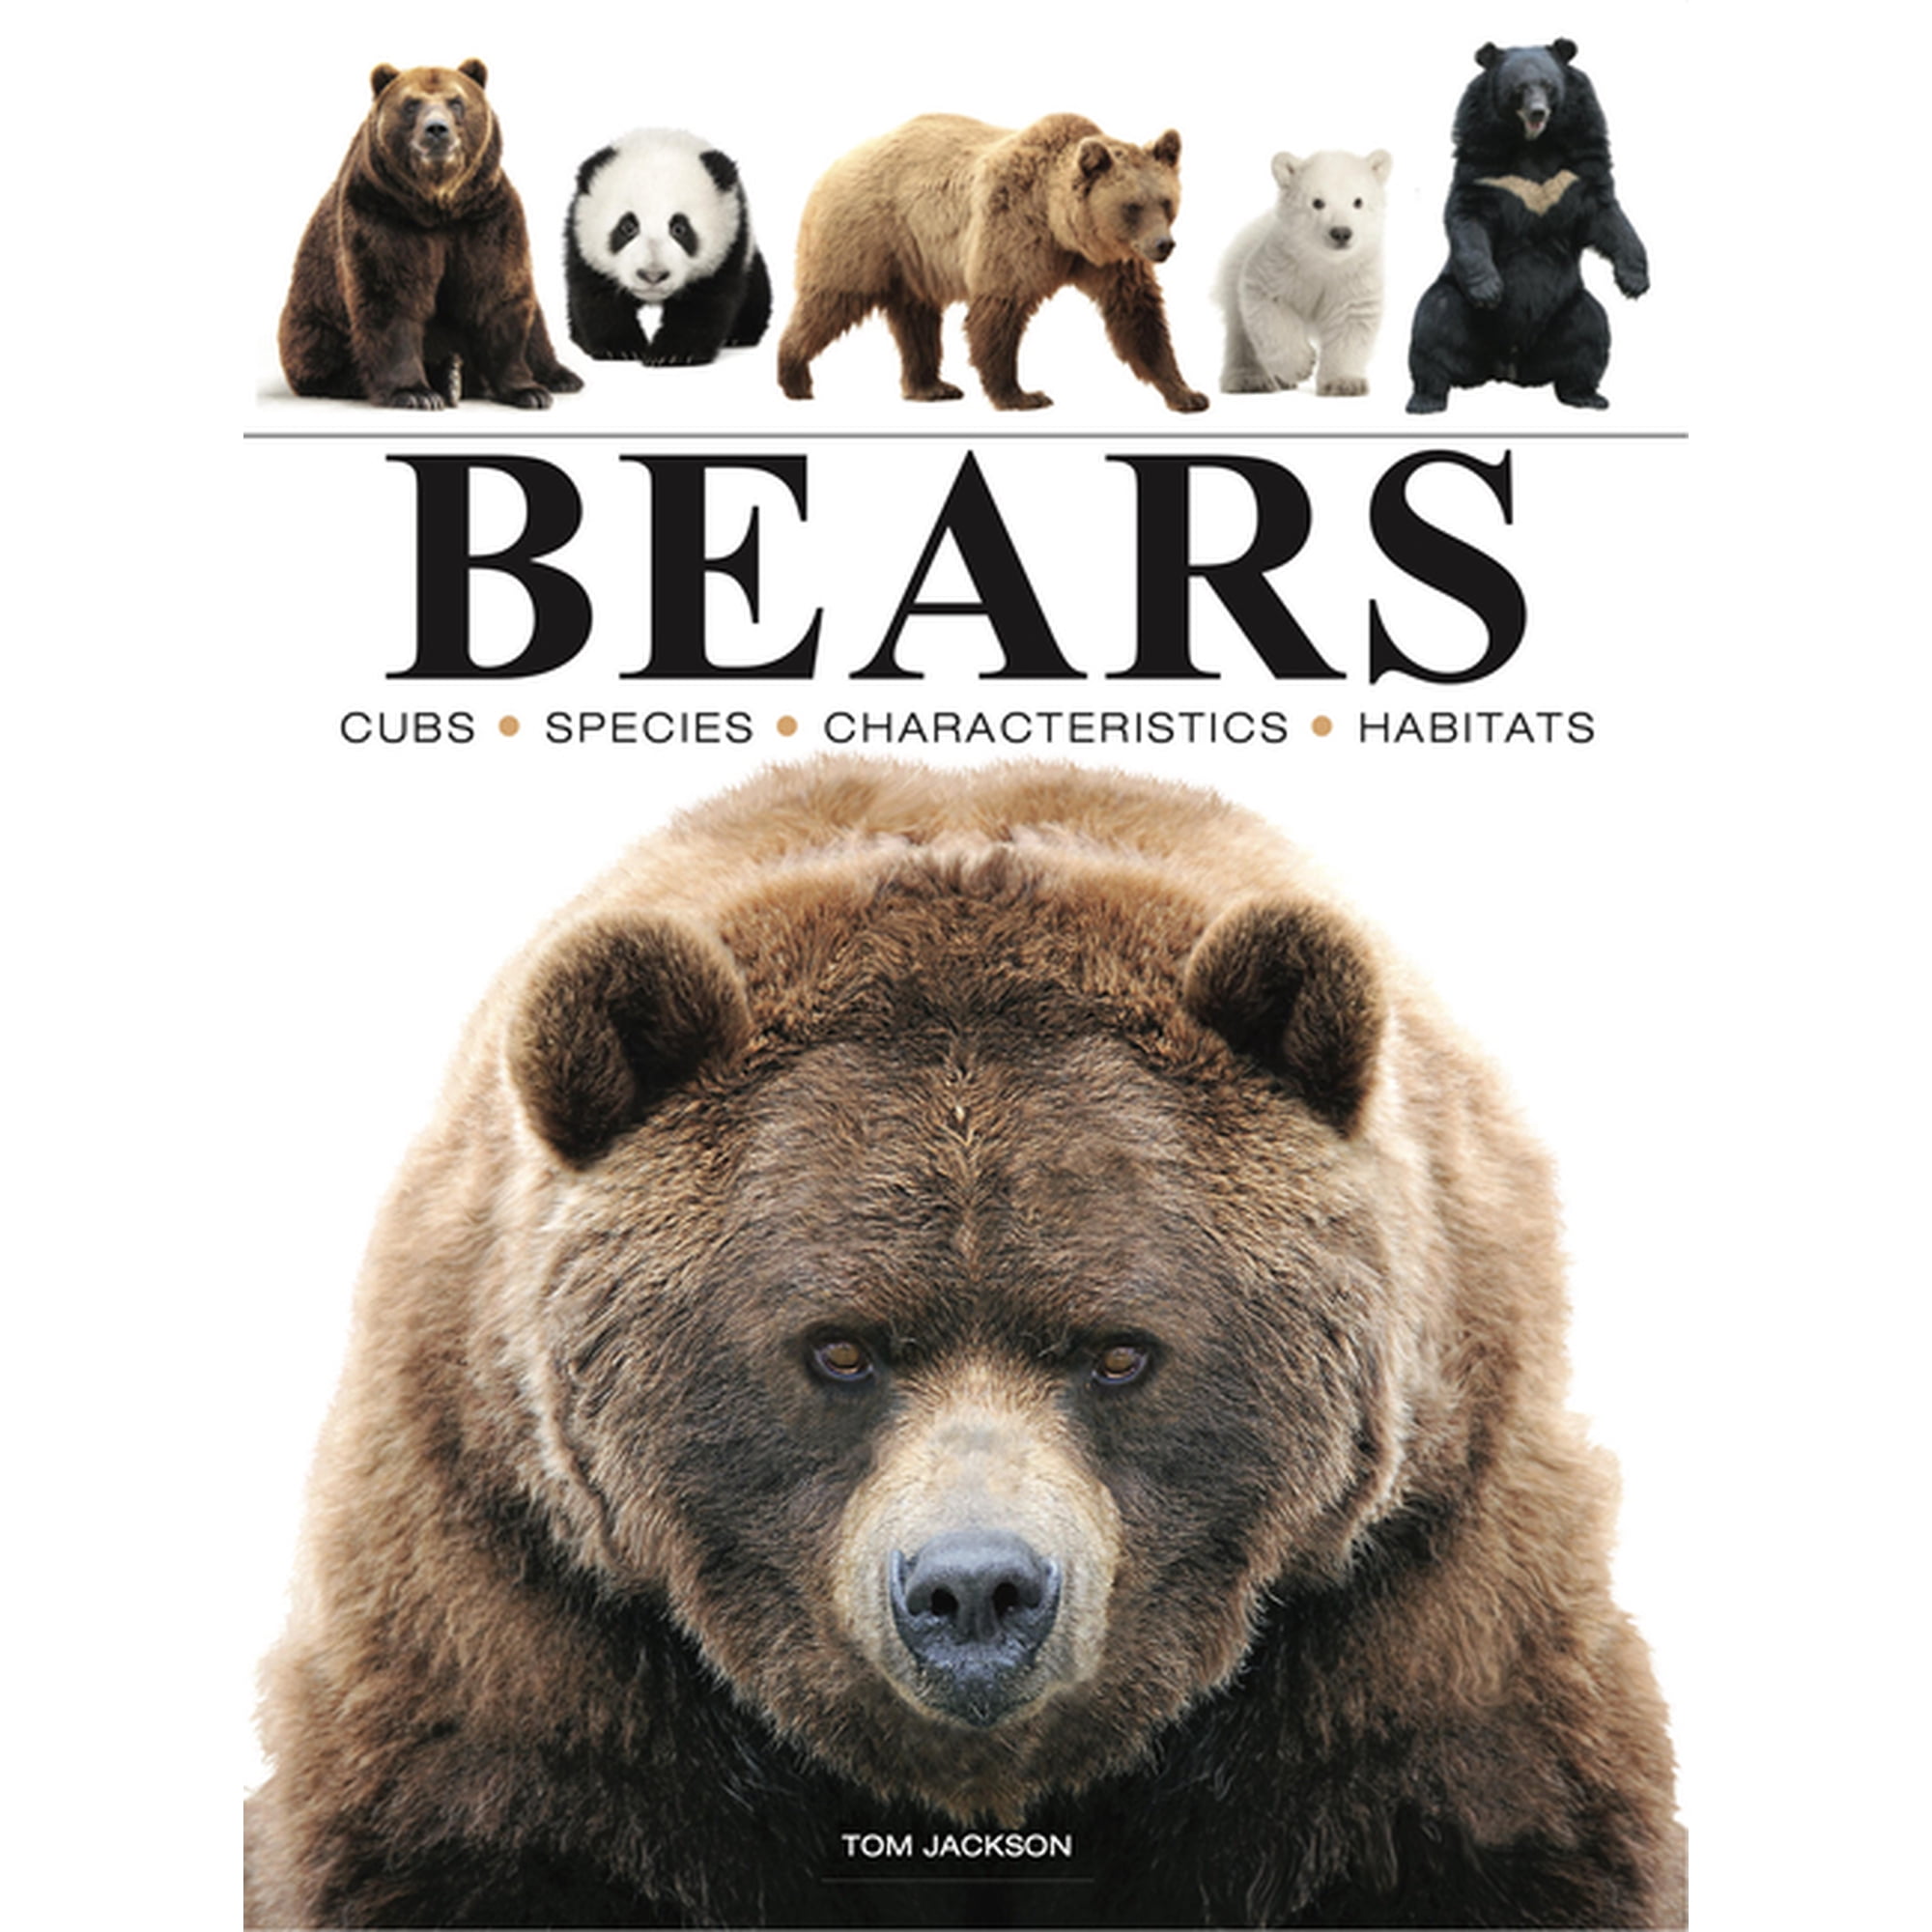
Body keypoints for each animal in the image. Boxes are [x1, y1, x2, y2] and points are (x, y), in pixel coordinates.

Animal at [279, 60, 580, 410]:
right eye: (411, 104)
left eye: (456, 102)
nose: (437, 129)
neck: (438, 204)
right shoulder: (383, 216)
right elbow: (391, 299)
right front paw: (416, 392)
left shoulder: (485, 217)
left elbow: (497, 294)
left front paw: (529, 390)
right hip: (313, 326)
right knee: (329, 359)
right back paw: (448, 376)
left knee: (536, 322)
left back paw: (560, 376)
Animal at [776, 114, 1209, 413]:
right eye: (1132, 206)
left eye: (1166, 201)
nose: (1163, 245)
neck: (1062, 226)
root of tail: (832, 165)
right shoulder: (1013, 231)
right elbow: (999, 312)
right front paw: (1022, 395)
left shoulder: (1109, 261)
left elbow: (1138, 316)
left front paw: (1187, 393)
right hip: (864, 234)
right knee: (831, 301)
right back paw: (794, 375)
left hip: (913, 258)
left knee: (916, 319)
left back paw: (930, 386)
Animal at [1214, 148, 1392, 397]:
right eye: (1317, 202)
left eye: (1358, 201)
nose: (1341, 232)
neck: (1323, 262)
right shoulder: (1281, 264)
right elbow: (1269, 305)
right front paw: (1301, 364)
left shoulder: (1354, 276)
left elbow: (1351, 320)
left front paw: (1344, 383)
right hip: (1233, 271)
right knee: (1242, 335)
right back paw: (1251, 379)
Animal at [1405, 39, 1648, 413]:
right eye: (1518, 89)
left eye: (1548, 87)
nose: (1537, 113)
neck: (1533, 144)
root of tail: (1508, 367)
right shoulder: (1484, 162)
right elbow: (1467, 215)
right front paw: (1490, 291)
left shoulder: (1578, 163)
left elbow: (1606, 216)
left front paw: (1634, 282)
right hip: (1453, 298)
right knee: (1433, 327)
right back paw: (1426, 400)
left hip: (1570, 306)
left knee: (1591, 332)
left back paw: (1587, 396)